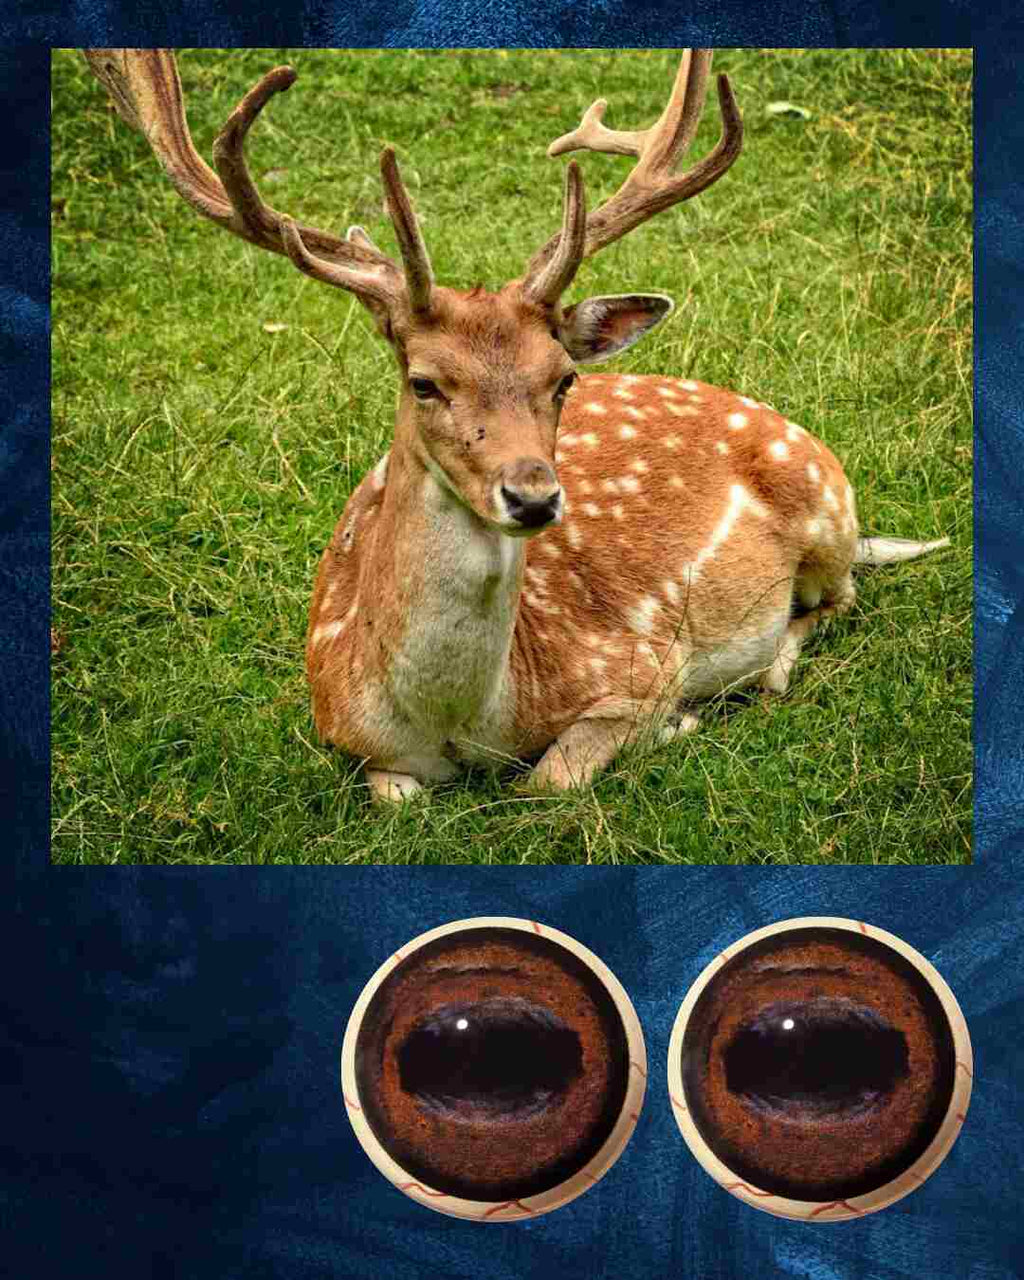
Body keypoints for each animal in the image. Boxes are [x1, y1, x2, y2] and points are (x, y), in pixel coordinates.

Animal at [84, 48, 950, 803]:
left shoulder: (639, 664)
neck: (465, 720)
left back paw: (770, 671)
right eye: (423, 381)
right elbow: (399, 798)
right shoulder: (346, 733)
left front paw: (677, 727)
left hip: (824, 509)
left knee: (838, 599)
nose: (533, 497)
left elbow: (550, 780)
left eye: (562, 378)